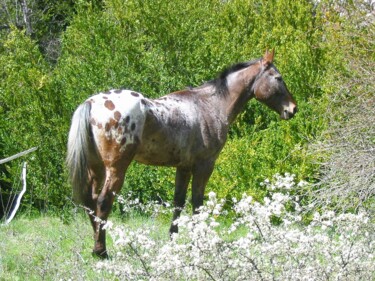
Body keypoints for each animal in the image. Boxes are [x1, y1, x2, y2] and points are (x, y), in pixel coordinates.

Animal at [66, 49, 298, 258]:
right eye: (278, 78)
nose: (293, 109)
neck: (210, 105)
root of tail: (92, 103)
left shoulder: (183, 167)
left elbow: (178, 202)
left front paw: (173, 238)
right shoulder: (205, 165)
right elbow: (197, 202)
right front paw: (199, 240)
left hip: (96, 168)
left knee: (90, 201)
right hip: (116, 169)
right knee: (103, 202)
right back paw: (101, 251)